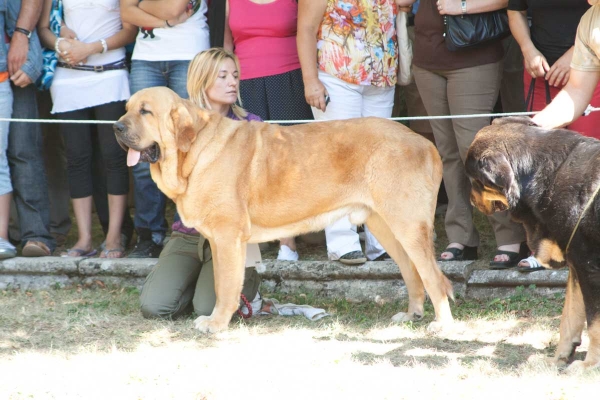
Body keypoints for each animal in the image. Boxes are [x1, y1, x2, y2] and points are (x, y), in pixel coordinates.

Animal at [112, 87, 452, 334]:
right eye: (126, 108)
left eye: (145, 111)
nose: (115, 127)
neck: (193, 151)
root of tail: (426, 144)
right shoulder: (220, 242)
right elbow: (224, 283)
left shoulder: (226, 237)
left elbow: (224, 286)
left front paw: (216, 323)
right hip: (387, 228)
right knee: (413, 274)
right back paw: (411, 315)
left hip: (408, 227)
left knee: (435, 278)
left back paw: (443, 326)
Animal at [468, 115, 600, 372]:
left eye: (474, 181)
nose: (470, 200)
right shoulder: (576, 264)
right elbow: (569, 317)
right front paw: (559, 358)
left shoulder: (589, 267)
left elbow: (594, 323)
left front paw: (590, 365)